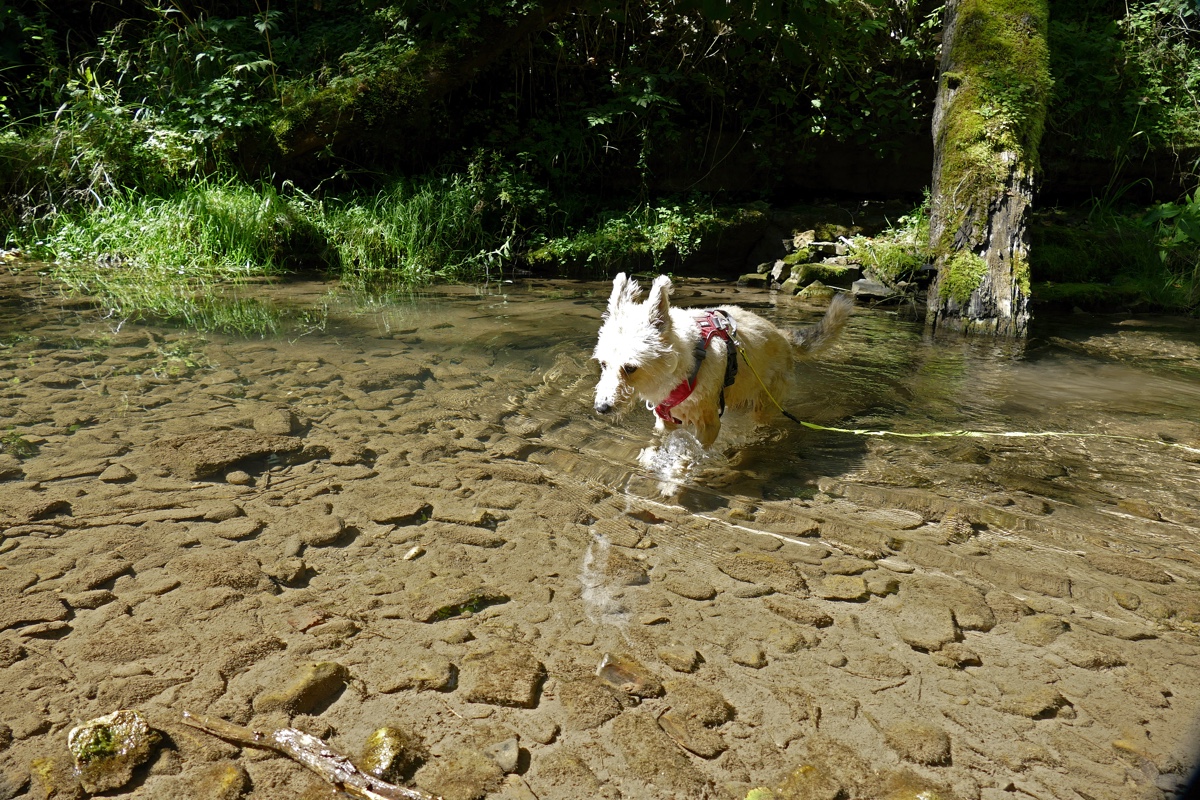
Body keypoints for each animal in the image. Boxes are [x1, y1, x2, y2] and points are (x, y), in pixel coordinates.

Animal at [592, 273, 852, 448]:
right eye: (604, 364)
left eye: (630, 368)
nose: (601, 408)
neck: (686, 363)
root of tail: (782, 335)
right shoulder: (666, 421)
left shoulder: (708, 425)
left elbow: (689, 457)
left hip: (765, 402)